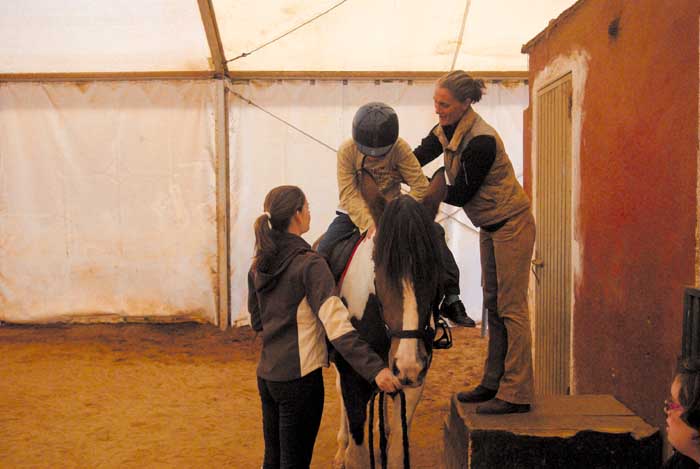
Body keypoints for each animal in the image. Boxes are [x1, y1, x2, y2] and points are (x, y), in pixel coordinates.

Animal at [330, 166, 446, 466]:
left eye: (435, 268)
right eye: (380, 269)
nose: (407, 364)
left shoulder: (414, 382)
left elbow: (395, 452)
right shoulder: (353, 379)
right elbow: (358, 455)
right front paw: (347, 452)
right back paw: (340, 448)